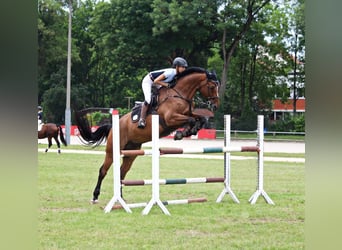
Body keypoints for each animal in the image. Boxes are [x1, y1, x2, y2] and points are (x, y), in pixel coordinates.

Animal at [75, 66, 220, 203]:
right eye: (212, 86)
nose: (216, 106)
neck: (179, 94)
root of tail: (113, 126)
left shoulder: (188, 113)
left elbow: (200, 118)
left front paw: (188, 131)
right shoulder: (171, 118)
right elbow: (191, 120)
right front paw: (182, 133)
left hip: (132, 152)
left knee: (122, 173)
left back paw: (121, 198)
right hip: (112, 151)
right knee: (103, 171)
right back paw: (95, 196)